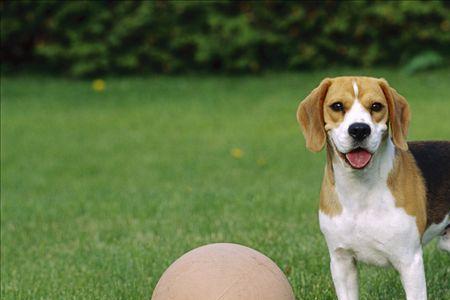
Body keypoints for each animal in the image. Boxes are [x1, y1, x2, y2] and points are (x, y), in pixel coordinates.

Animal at [298, 77, 448, 300]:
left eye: (376, 106)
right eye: (337, 106)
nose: (359, 129)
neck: (360, 190)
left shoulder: (409, 261)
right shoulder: (341, 262)